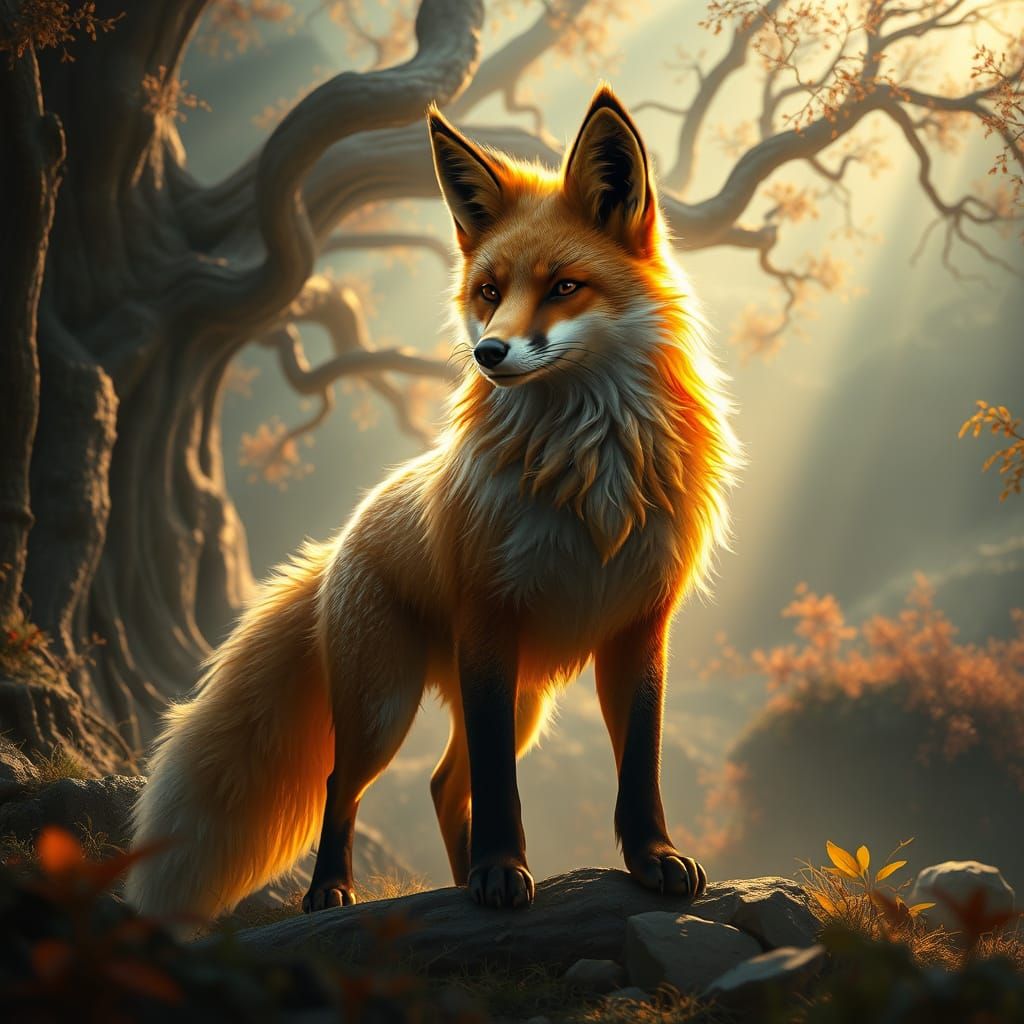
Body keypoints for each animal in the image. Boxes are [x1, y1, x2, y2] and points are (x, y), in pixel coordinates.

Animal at [125, 85, 741, 919]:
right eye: (489, 292)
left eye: (564, 286)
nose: (488, 353)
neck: (587, 476)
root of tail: (341, 536)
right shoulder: (489, 618)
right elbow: (500, 786)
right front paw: (502, 871)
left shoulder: (640, 626)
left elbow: (638, 768)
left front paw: (653, 860)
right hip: (386, 704)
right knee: (348, 781)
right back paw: (335, 891)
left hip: (524, 701)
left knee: (446, 784)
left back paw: (454, 884)